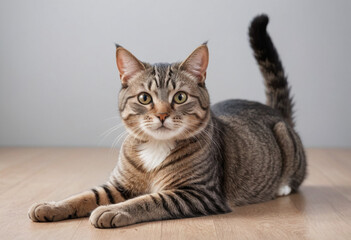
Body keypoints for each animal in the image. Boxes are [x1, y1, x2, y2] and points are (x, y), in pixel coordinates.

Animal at [28, 14, 306, 228]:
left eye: (180, 97)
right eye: (144, 98)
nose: (162, 114)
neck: (155, 147)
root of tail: (276, 112)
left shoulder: (198, 193)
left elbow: (147, 200)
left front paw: (114, 210)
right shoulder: (118, 185)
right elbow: (84, 195)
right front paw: (51, 206)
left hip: (285, 141)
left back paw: (282, 187)